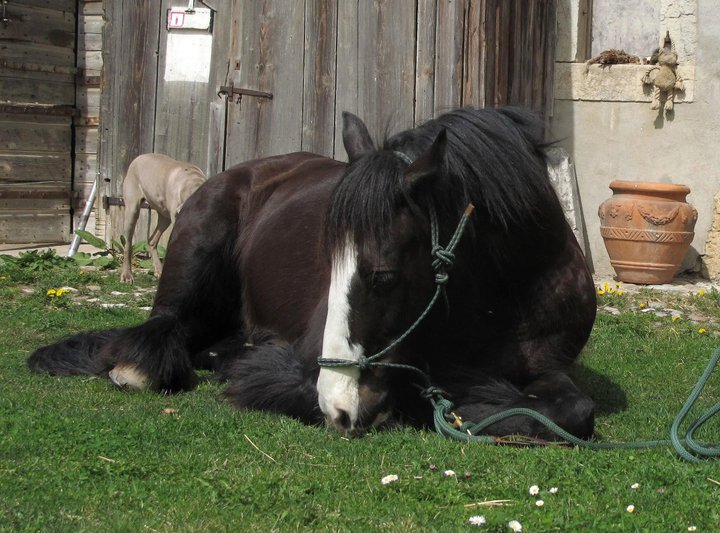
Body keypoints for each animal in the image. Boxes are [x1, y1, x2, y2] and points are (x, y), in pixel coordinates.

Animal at [119, 152, 207, 280]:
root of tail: (139, 157)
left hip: (164, 217)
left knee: (152, 240)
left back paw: (158, 270)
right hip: (132, 209)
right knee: (128, 244)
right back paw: (127, 274)